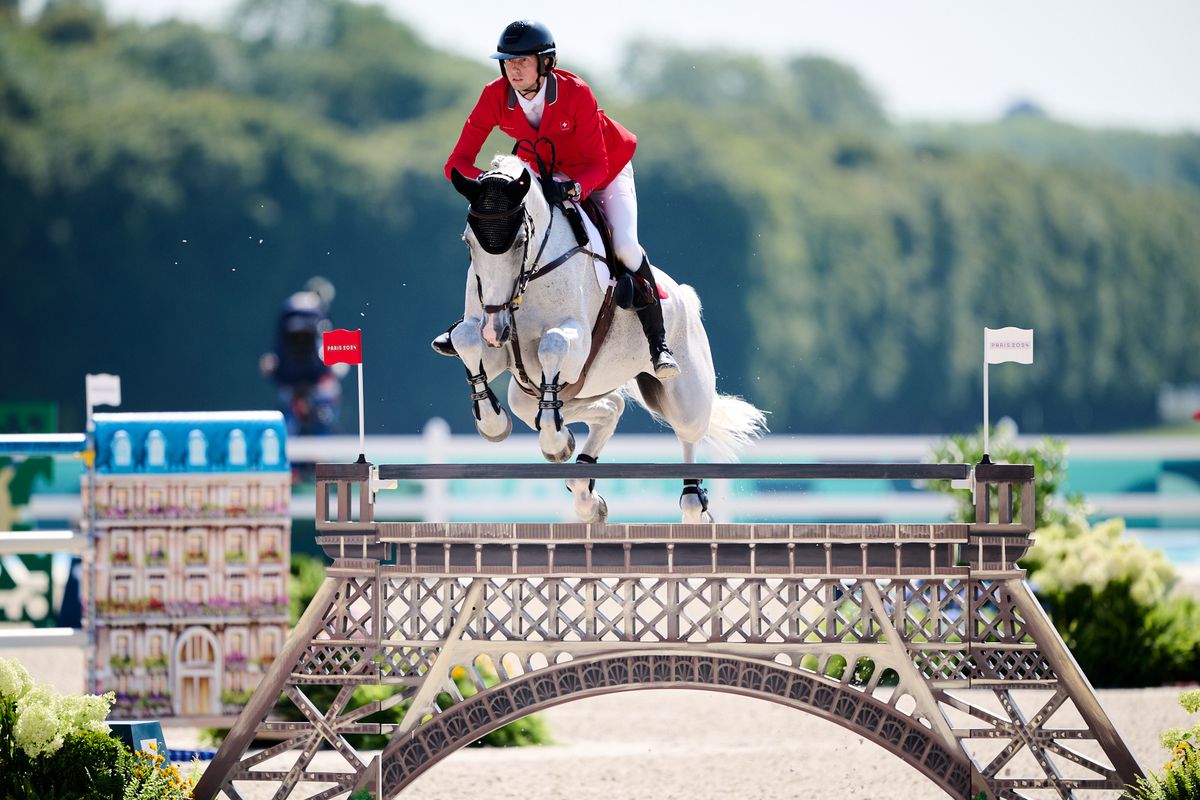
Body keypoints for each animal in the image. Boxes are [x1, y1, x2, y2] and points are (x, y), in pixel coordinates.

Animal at [446, 155, 763, 525]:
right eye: (468, 241)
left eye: (521, 240)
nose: (496, 328)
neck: (532, 275)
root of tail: (684, 296)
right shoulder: (499, 348)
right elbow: (465, 338)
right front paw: (495, 423)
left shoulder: (575, 344)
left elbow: (553, 343)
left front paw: (552, 442)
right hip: (544, 392)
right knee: (609, 407)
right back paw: (582, 484)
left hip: (683, 396)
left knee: (687, 435)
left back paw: (693, 504)